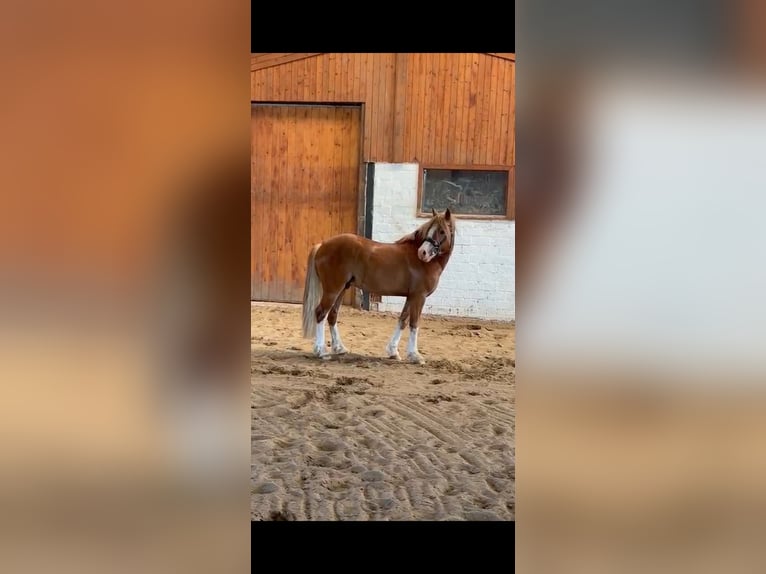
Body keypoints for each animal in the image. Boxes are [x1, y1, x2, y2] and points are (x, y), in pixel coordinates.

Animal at [301, 208, 455, 365]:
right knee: (320, 313)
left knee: (332, 315)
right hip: (332, 290)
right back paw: (321, 352)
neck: (424, 263)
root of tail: (322, 245)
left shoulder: (411, 297)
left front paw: (393, 352)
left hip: (342, 289)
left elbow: (402, 321)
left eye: (442, 231)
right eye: (430, 229)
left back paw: (339, 348)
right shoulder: (419, 296)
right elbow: (414, 323)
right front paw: (415, 355)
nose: (422, 253)